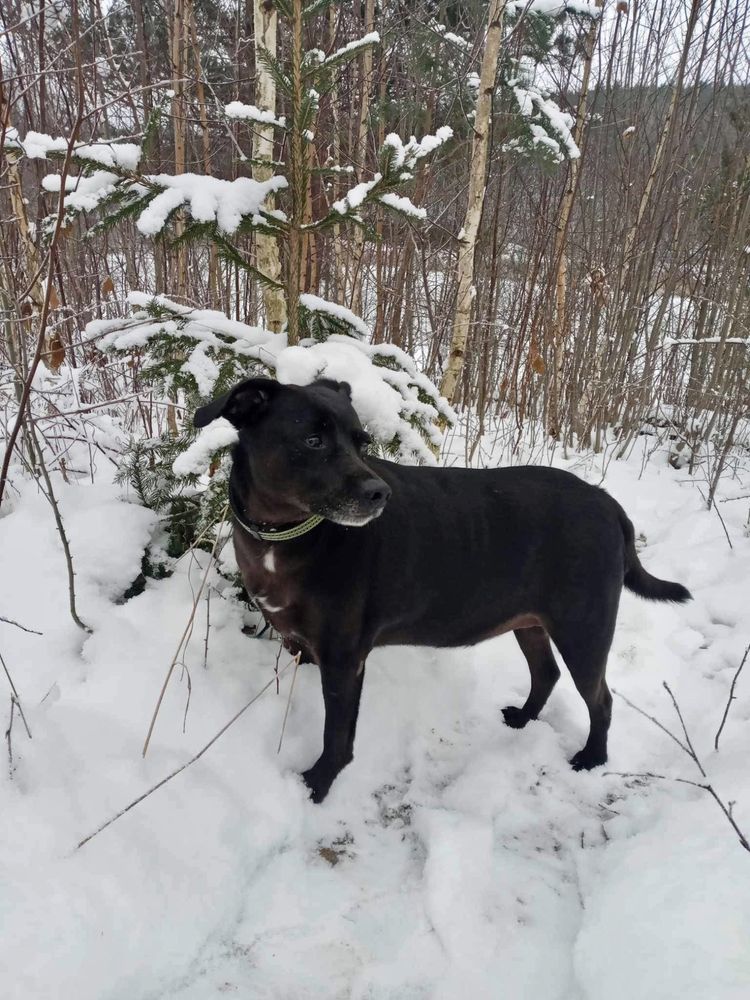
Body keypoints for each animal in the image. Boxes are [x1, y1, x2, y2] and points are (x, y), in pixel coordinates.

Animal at [195, 376, 692, 804]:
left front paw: (317, 784)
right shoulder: (301, 643)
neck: (285, 535)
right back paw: (523, 719)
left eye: (361, 442)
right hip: (530, 620)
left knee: (601, 699)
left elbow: (337, 733)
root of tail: (609, 504)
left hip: (584, 627)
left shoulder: (344, 656)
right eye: (312, 441)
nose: (379, 494)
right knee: (547, 673)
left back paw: (592, 758)